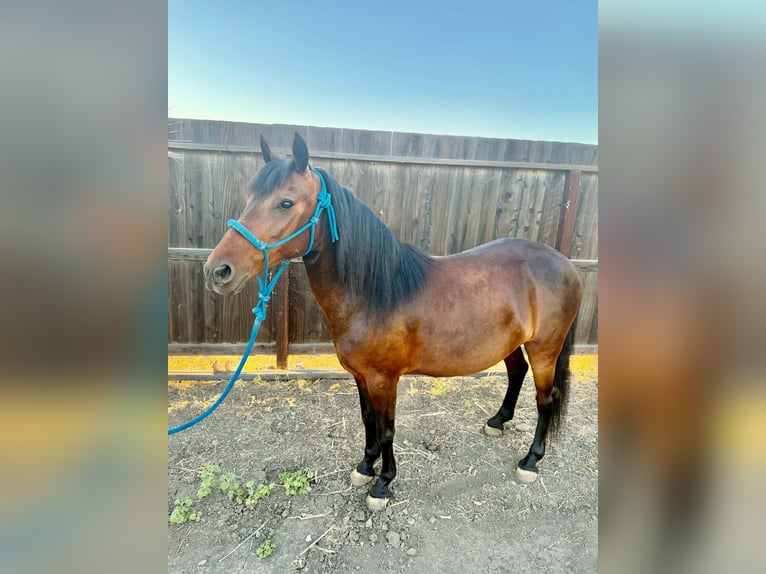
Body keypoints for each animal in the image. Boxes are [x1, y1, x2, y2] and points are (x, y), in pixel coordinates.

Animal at [203, 132, 583, 511]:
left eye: (285, 203)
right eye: (249, 199)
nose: (218, 271)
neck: (374, 294)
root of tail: (564, 263)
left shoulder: (384, 379)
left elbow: (386, 429)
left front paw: (383, 483)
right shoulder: (360, 375)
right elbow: (368, 420)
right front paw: (364, 466)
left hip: (545, 349)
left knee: (546, 399)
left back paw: (530, 460)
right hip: (510, 343)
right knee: (517, 372)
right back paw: (497, 421)